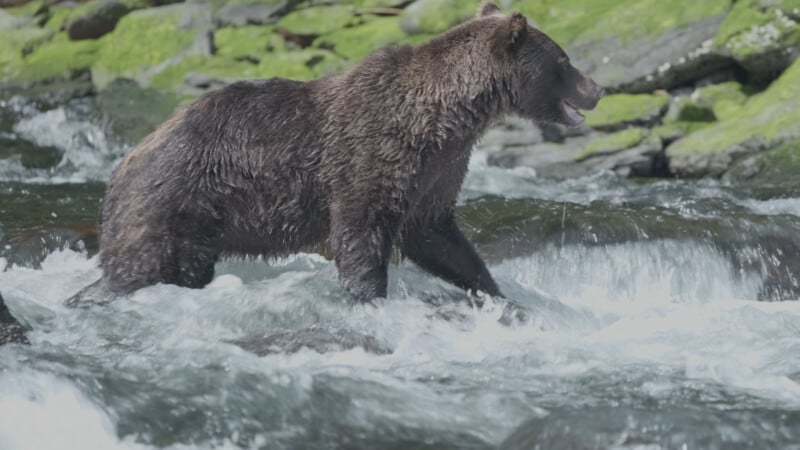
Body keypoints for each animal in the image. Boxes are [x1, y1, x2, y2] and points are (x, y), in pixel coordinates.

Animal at [67, 2, 603, 306]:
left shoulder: (440, 167)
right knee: (140, 266)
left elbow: (435, 234)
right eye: (565, 59)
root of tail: (119, 168)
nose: (596, 88)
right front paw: (369, 298)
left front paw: (493, 289)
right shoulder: (373, 152)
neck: (447, 115)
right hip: (172, 198)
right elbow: (360, 231)